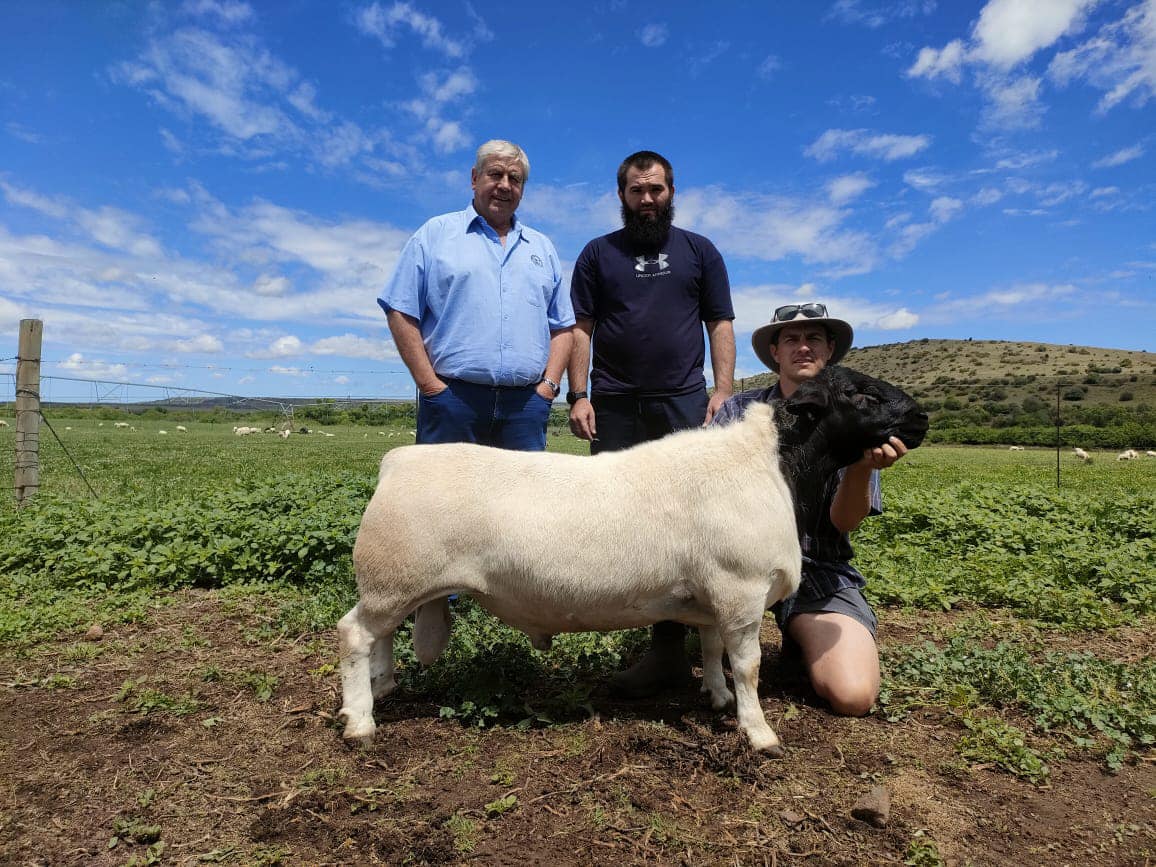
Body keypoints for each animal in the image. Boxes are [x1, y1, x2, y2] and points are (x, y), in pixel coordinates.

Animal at [336, 366, 927, 755]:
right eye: (857, 393)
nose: (920, 418)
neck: (775, 465)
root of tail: (396, 461)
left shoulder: (715, 597)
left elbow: (711, 648)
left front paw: (716, 698)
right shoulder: (740, 589)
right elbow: (749, 666)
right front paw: (759, 733)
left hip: (397, 583)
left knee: (379, 637)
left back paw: (381, 688)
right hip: (395, 576)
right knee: (354, 634)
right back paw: (360, 722)